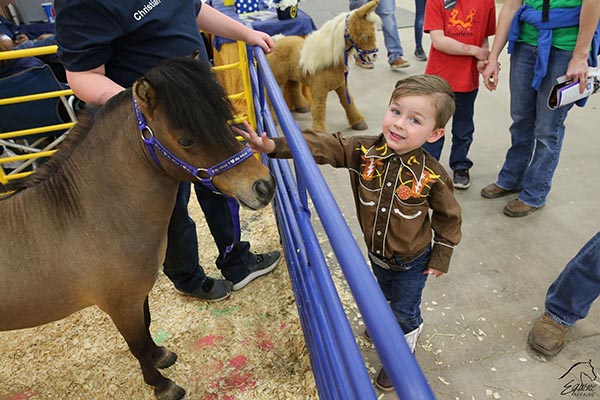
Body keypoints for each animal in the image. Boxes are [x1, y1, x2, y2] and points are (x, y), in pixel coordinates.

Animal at [0, 57, 276, 398]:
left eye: (223, 118)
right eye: (185, 140)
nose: (263, 186)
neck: (87, 216)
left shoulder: (136, 296)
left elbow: (146, 329)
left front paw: (162, 356)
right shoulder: (120, 305)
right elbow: (137, 345)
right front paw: (162, 385)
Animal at [268, 0, 380, 131]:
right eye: (364, 35)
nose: (374, 55)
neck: (330, 59)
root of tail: (277, 40)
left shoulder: (341, 85)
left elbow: (348, 103)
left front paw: (359, 123)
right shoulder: (319, 89)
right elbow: (319, 108)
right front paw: (319, 132)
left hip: (293, 76)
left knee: (293, 87)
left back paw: (303, 107)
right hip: (276, 77)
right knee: (268, 94)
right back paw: (274, 120)